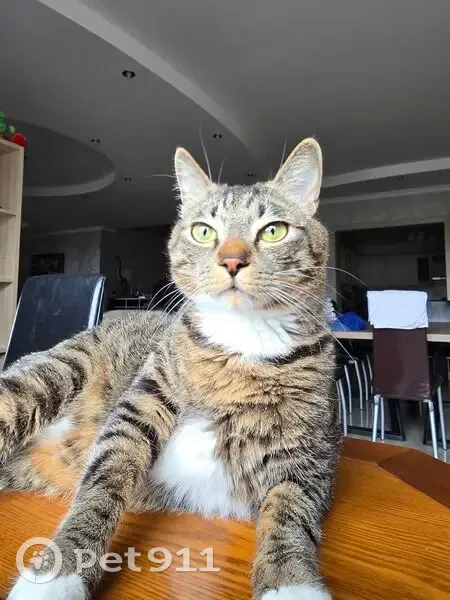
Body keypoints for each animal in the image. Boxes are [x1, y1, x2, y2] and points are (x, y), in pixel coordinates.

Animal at [1, 137, 340, 600]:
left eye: (273, 230)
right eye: (203, 231)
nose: (232, 260)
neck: (240, 344)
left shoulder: (309, 453)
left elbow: (291, 512)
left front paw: (291, 584)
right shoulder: (142, 399)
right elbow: (105, 478)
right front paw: (59, 573)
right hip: (54, 371)